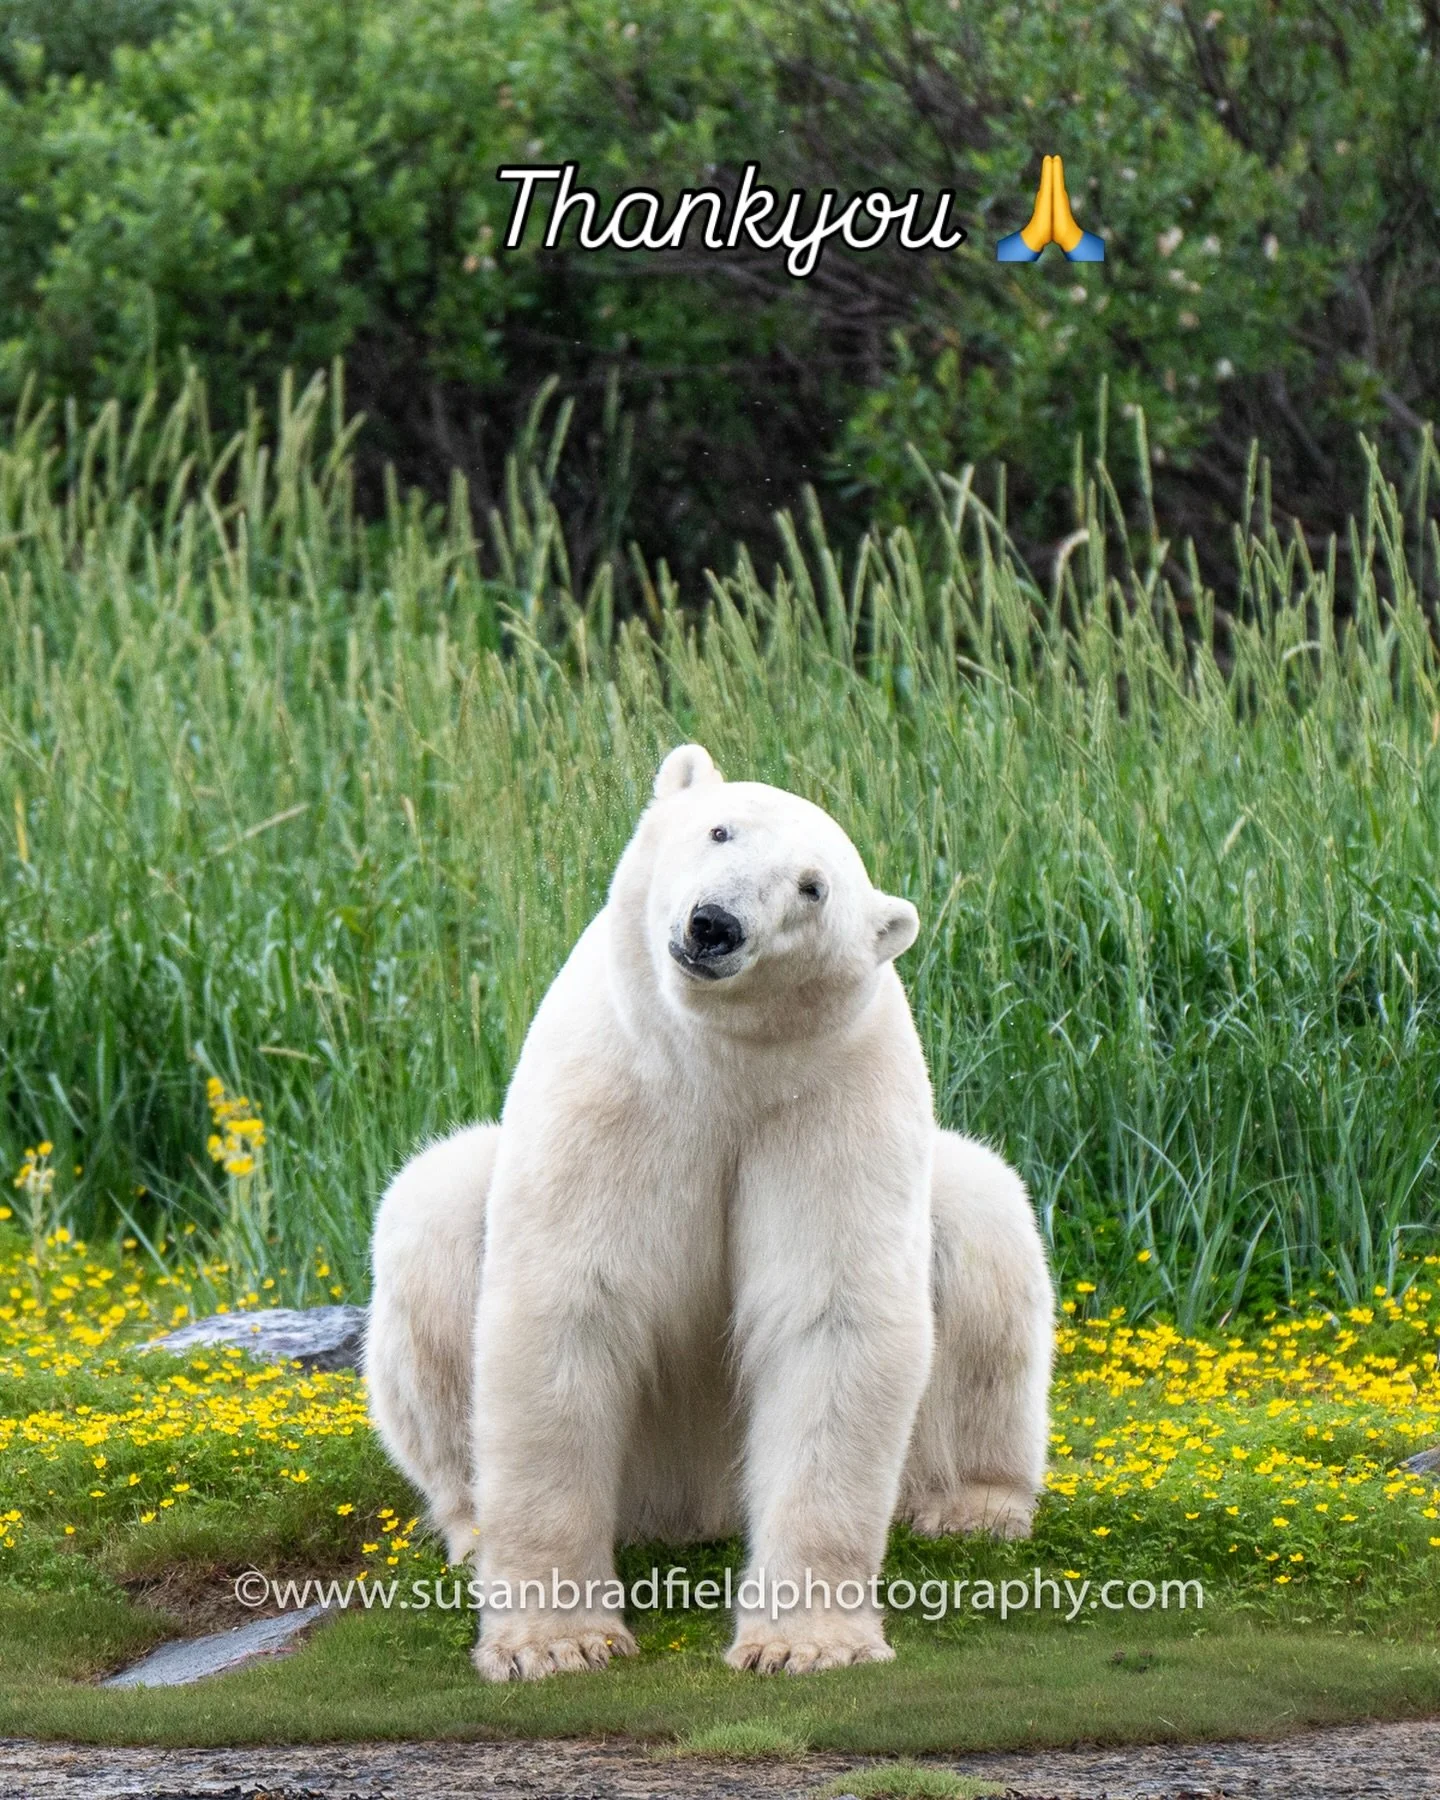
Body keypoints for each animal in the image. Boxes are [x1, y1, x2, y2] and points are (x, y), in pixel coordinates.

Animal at [365, 744, 1054, 1681]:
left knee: (985, 1228)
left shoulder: (827, 1097)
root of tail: (692, 1511)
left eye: (812, 887)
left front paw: (805, 1643)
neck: (720, 1066)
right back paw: (472, 1528)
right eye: (721, 829)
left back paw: (972, 1507)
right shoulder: (616, 1088)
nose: (714, 925)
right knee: (431, 1215)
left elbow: (831, 1317)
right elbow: (567, 1307)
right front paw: (558, 1642)